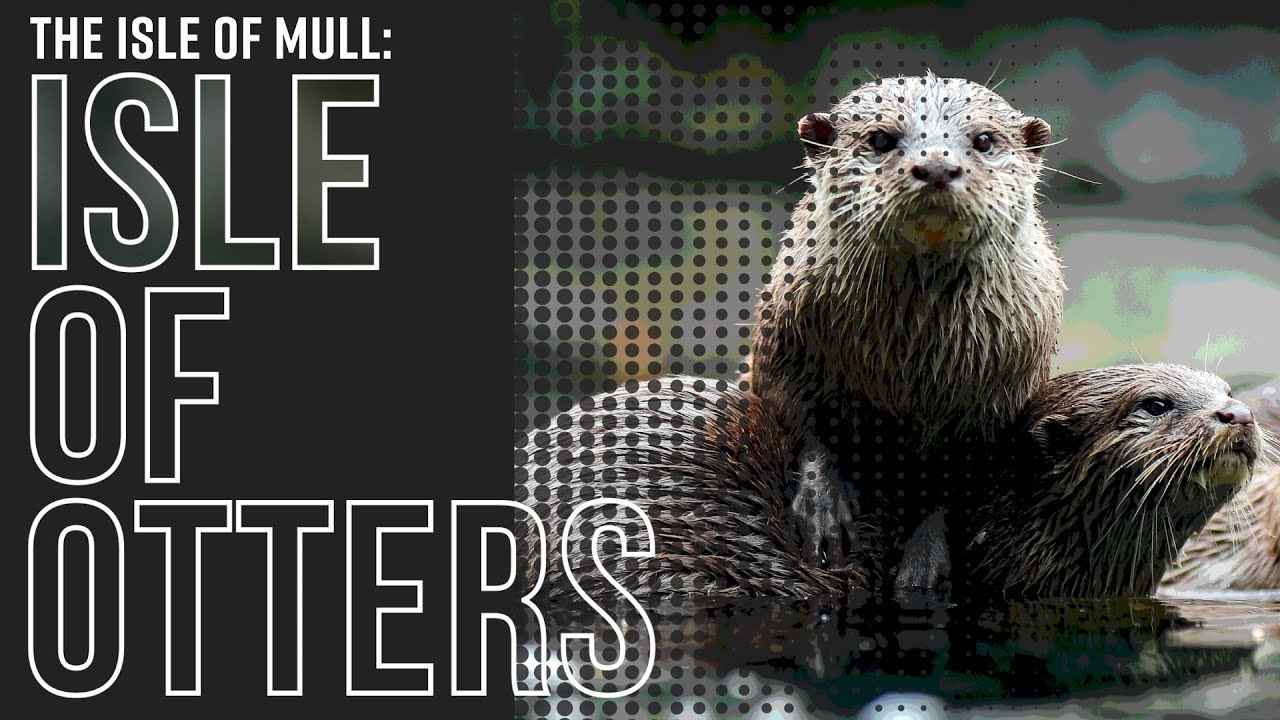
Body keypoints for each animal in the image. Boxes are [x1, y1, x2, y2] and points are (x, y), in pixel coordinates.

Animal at [745, 73, 1064, 575]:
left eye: (984, 140)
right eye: (880, 139)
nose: (936, 166)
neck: (908, 370)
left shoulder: (1002, 398)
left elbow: (954, 481)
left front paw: (926, 559)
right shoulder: (787, 344)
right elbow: (804, 421)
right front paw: (822, 508)